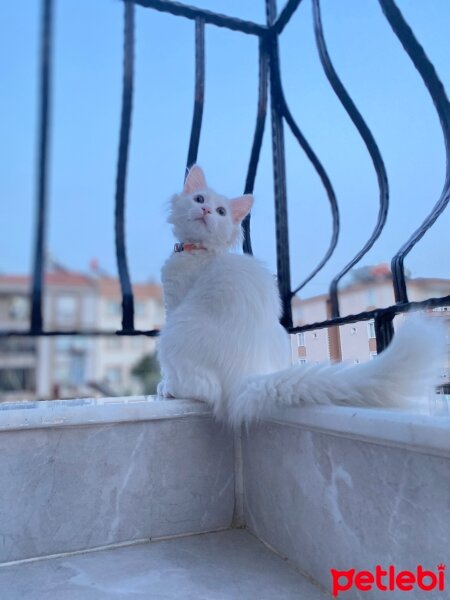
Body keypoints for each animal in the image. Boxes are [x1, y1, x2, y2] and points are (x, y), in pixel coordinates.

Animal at [156, 166, 444, 424]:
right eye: (199, 199)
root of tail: (244, 374)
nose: (206, 211)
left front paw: (164, 382)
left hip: (172, 331)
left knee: (205, 389)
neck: (202, 251)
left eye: (221, 212)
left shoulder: (175, 300)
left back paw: (169, 389)